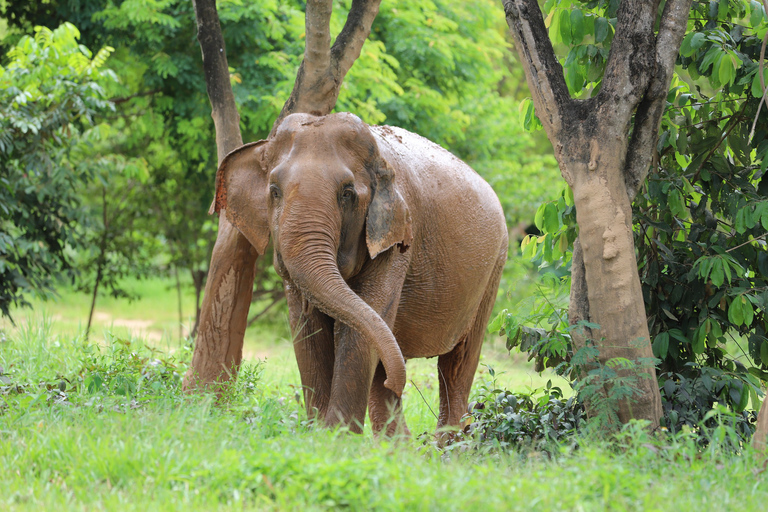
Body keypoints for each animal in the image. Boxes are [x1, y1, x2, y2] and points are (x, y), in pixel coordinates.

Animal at [214, 112, 507, 436]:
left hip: (494, 269)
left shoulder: (398, 237)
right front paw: (319, 433)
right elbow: (306, 327)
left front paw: (335, 437)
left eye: (347, 194)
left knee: (456, 364)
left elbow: (361, 326)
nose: (399, 381)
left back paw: (445, 444)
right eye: (274, 191)